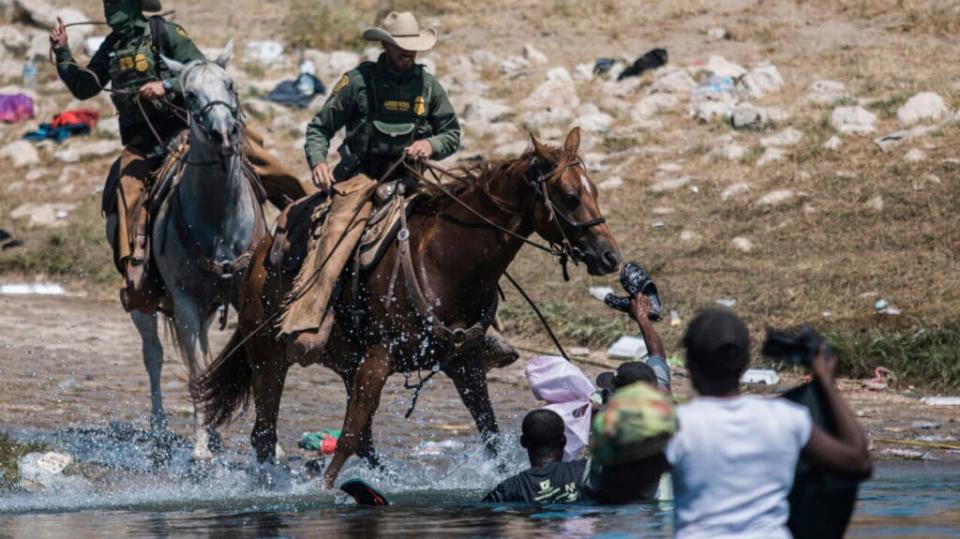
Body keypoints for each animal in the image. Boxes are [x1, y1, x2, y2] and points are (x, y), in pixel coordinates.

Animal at [195, 129, 624, 488]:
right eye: (569, 196)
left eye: (594, 192)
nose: (610, 256)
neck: (445, 261)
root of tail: (259, 255)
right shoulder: (379, 359)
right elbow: (348, 434)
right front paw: (323, 489)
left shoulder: (465, 361)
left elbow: (489, 430)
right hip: (268, 357)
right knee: (265, 433)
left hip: (344, 363)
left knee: (362, 440)